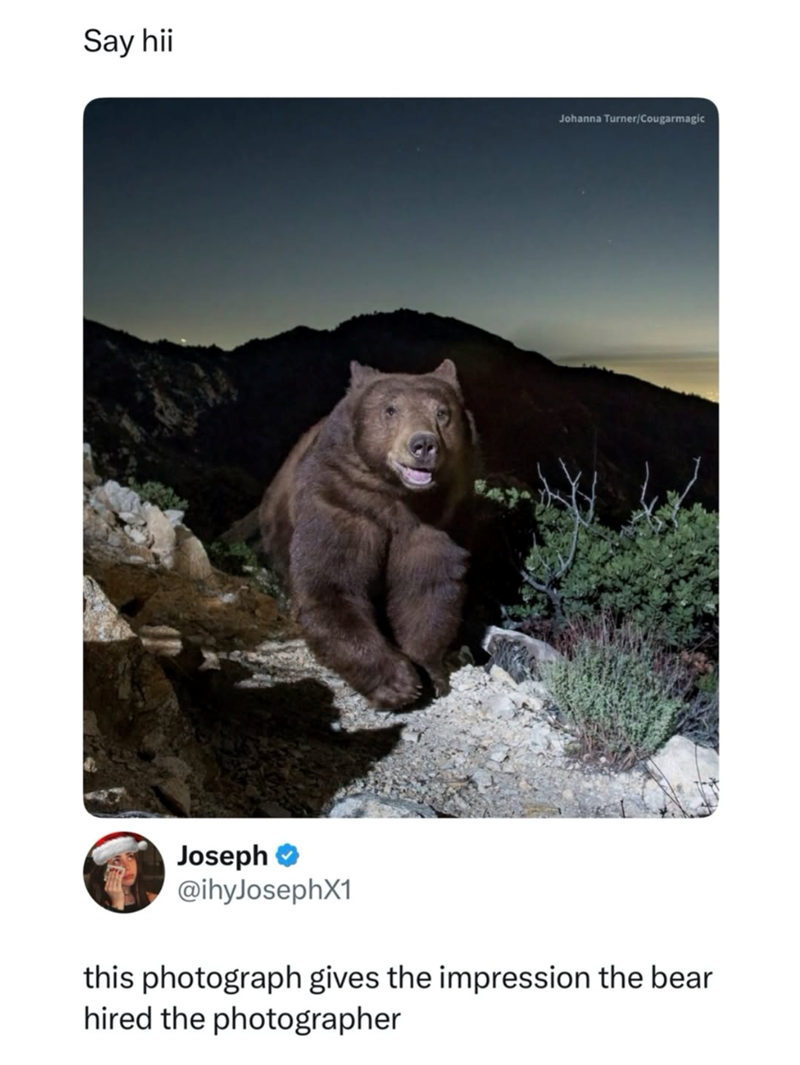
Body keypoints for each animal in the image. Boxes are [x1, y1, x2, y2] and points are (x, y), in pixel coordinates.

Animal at [260, 359, 478, 709]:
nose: (423, 444)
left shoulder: (438, 523)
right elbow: (332, 585)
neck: (398, 500)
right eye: (390, 410)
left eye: (443, 413)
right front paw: (398, 682)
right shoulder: (342, 504)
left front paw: (432, 671)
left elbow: (426, 590)